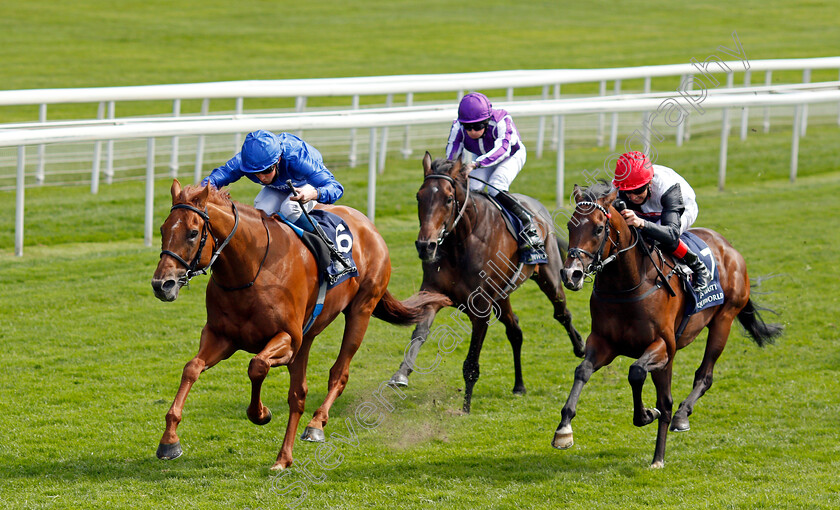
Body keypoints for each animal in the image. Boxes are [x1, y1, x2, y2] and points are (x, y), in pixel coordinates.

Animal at [151, 179, 452, 470]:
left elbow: (257, 366)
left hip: (360, 311)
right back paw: (285, 456)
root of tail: (368, 225)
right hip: (309, 335)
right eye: (163, 229)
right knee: (299, 394)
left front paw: (260, 413)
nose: (161, 284)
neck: (250, 270)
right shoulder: (221, 336)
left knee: (338, 374)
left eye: (192, 233)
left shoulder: (288, 339)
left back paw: (313, 427)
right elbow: (192, 368)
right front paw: (169, 441)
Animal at [388, 153, 580, 412]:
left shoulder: (481, 307)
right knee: (515, 331)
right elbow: (419, 333)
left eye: (449, 199)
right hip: (503, 295)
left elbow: (471, 362)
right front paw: (401, 374)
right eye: (419, 196)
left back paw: (580, 347)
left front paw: (465, 407)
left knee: (562, 313)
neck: (461, 243)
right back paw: (519, 386)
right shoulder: (433, 292)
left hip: (548, 277)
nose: (425, 246)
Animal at [552, 181, 780, 468]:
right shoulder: (603, 343)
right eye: (570, 225)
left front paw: (647, 415)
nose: (571, 274)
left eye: (599, 228)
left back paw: (673, 431)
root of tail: (729, 248)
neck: (627, 285)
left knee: (701, 378)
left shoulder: (663, 345)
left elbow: (637, 373)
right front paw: (563, 430)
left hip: (723, 321)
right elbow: (582, 371)